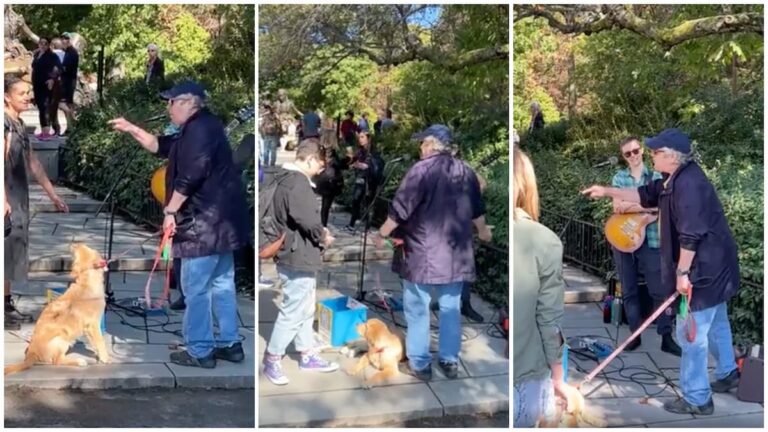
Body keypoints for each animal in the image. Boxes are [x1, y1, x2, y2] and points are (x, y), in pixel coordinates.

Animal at [4, 243, 110, 374]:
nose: (74, 243)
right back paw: (79, 362)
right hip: (62, 337)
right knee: (57, 361)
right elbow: (100, 341)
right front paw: (106, 358)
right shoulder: (93, 324)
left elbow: (95, 342)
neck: (86, 281)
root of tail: (31, 354)